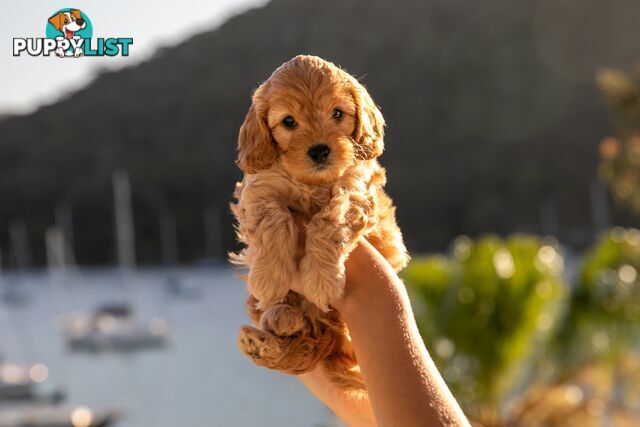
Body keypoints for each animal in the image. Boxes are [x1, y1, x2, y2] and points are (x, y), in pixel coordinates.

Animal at [230, 54, 410, 392]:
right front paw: (269, 279)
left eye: (337, 113)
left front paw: (320, 279)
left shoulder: (354, 188)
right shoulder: (259, 189)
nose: (319, 151)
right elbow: (273, 221)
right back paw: (276, 322)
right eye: (288, 122)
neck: (311, 182)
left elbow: (328, 222)